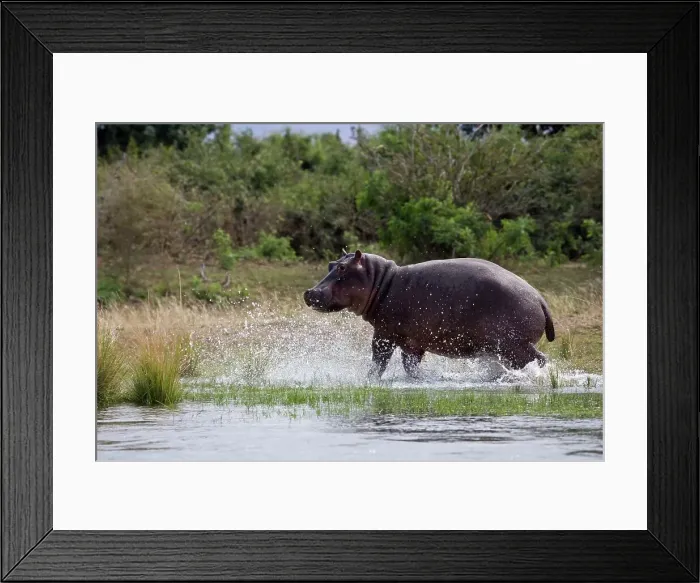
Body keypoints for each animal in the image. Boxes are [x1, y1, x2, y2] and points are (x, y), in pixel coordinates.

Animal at [303, 250, 555, 379]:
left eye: (343, 268)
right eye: (331, 263)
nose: (310, 292)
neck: (381, 281)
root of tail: (540, 298)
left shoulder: (384, 333)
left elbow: (378, 360)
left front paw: (369, 379)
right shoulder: (411, 343)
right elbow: (410, 366)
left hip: (513, 345)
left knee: (539, 359)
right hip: (502, 347)